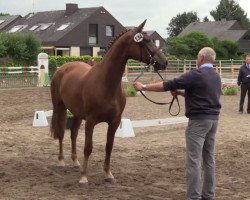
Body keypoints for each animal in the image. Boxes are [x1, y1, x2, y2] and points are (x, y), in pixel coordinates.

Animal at [50, 19, 168, 183]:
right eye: (145, 41)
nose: (164, 62)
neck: (105, 83)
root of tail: (63, 68)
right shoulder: (91, 121)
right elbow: (88, 147)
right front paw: (84, 176)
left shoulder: (114, 121)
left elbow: (109, 146)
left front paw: (108, 174)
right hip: (60, 107)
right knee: (61, 133)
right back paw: (61, 160)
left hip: (77, 114)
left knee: (73, 133)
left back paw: (75, 161)